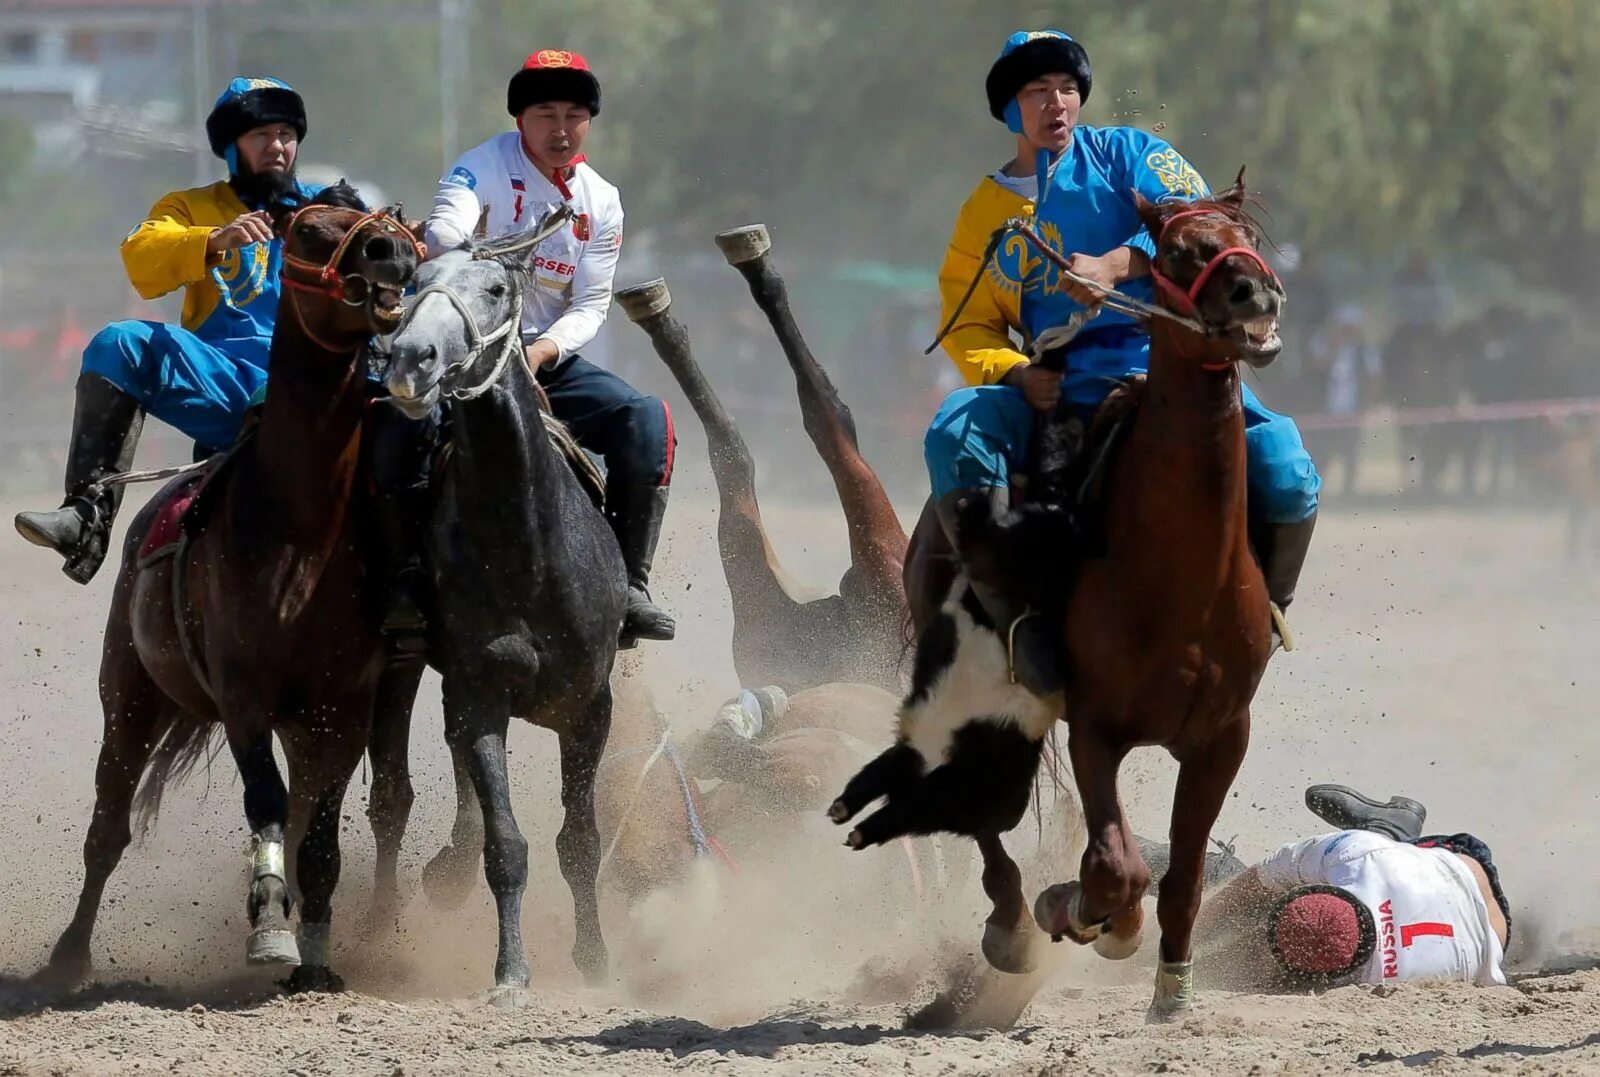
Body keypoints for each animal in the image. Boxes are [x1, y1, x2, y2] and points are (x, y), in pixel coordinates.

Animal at [38, 187, 425, 992]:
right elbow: (266, 802)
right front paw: (271, 924)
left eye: (390, 224)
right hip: (128, 691)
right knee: (108, 824)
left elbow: (318, 835)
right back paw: (69, 955)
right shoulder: (243, 693)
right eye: (308, 232)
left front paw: (315, 957)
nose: (393, 254)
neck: (299, 533)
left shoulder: (341, 708)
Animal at [832, 174, 1280, 1017]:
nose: (1255, 294)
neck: (1185, 581)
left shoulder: (1222, 737)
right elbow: (1116, 866)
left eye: (1249, 237)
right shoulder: (1094, 727)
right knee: (978, 812)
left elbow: (1181, 875)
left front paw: (1171, 986)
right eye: (1180, 249)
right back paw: (1011, 922)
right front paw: (1078, 911)